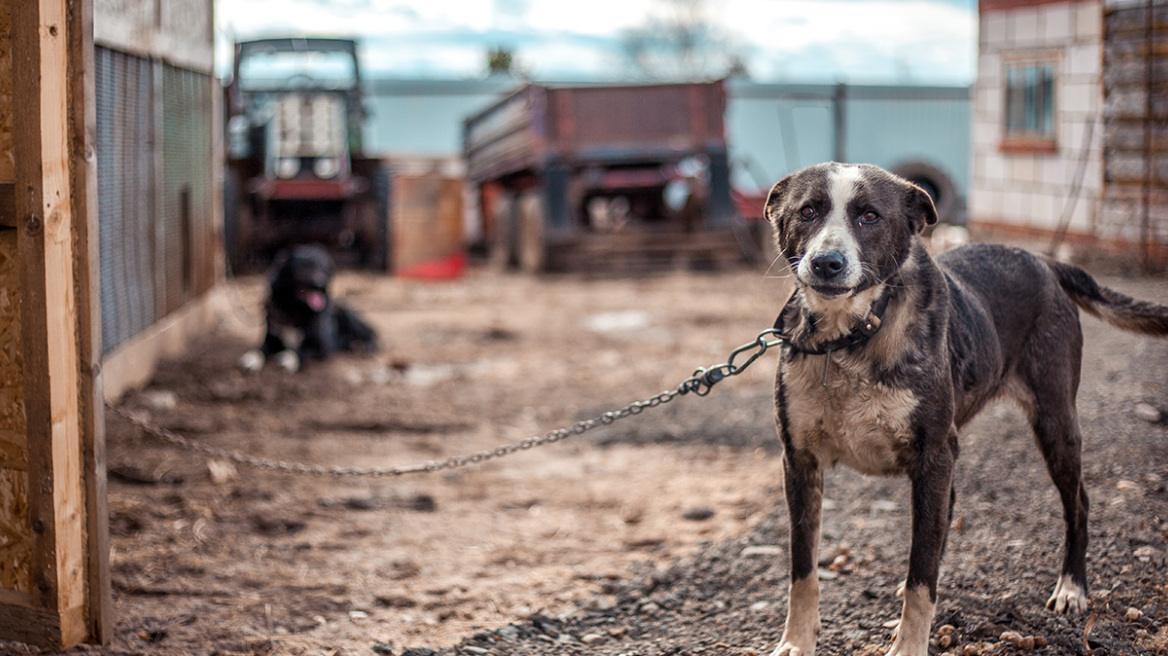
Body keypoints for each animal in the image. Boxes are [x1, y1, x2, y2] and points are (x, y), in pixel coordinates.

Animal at [761, 162, 1168, 653]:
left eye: (870, 216)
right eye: (808, 211)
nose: (826, 262)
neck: (850, 337)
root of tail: (1043, 261)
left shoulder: (934, 455)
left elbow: (922, 578)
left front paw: (909, 645)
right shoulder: (800, 461)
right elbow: (803, 568)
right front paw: (797, 641)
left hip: (1055, 423)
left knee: (1079, 504)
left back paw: (1072, 587)